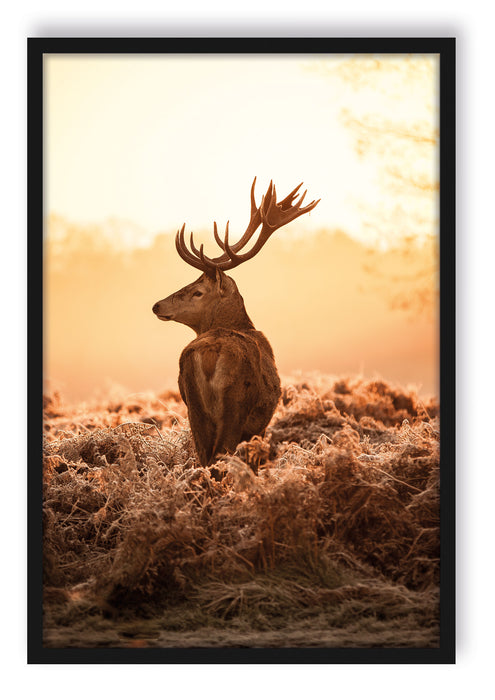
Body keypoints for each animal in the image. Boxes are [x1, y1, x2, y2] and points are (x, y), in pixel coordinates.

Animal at [152, 178, 319, 471]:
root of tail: (209, 353)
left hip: (193, 407)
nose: (157, 305)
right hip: (235, 405)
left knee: (204, 457)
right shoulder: (259, 425)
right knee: (220, 456)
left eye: (197, 291)